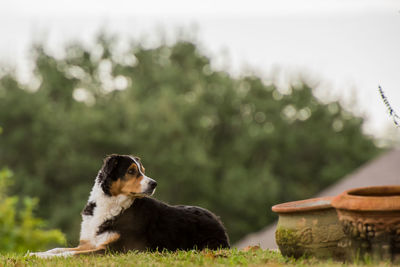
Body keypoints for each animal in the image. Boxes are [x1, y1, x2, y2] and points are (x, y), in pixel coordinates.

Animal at [29, 155, 230, 258]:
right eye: (132, 171)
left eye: (143, 171)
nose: (154, 183)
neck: (113, 204)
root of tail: (218, 221)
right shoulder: (90, 242)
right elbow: (58, 250)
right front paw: (36, 253)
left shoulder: (113, 249)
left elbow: (68, 255)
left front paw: (40, 257)